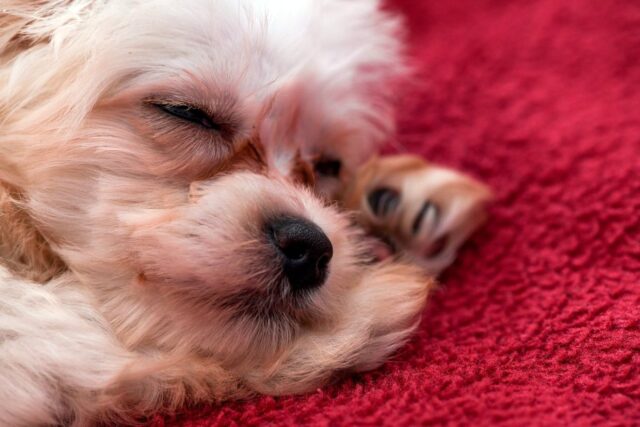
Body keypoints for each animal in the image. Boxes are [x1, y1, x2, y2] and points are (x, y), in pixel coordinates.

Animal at [0, 1, 490, 426]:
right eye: (187, 113)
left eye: (329, 165)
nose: (309, 247)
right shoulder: (33, 340)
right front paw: (370, 302)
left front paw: (395, 210)